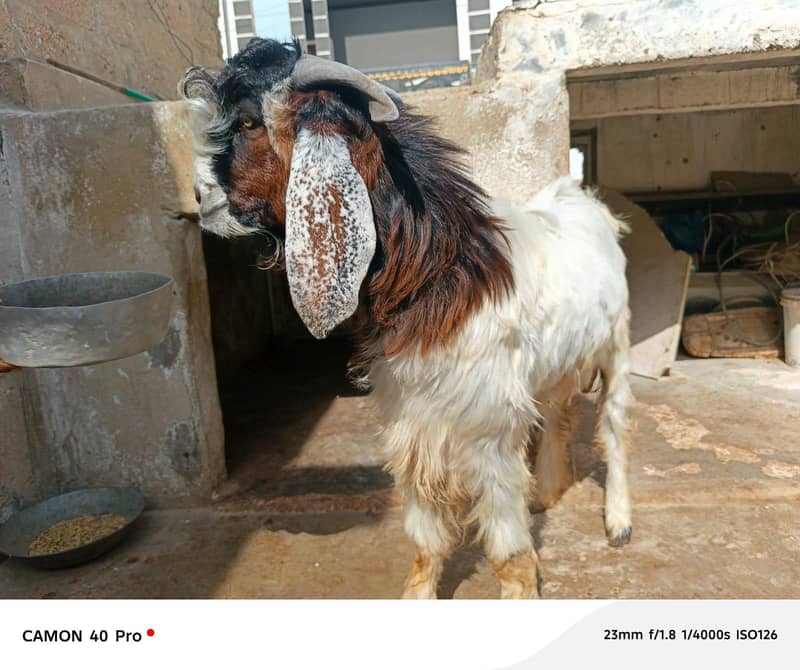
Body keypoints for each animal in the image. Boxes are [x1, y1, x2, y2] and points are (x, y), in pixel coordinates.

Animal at [181, 38, 632, 598]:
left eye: (247, 122)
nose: (199, 199)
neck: (443, 273)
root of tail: (586, 203)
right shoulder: (413, 420)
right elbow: (425, 536)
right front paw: (417, 595)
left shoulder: (487, 432)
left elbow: (507, 553)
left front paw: (521, 592)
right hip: (555, 363)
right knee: (557, 413)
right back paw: (547, 490)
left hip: (617, 346)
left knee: (613, 430)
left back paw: (618, 521)